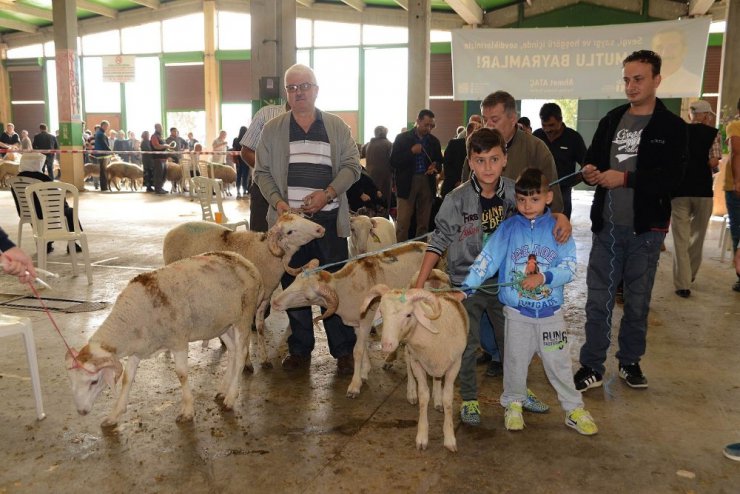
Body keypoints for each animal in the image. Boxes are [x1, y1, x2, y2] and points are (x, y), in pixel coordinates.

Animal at [64, 253, 264, 426]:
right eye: (72, 381)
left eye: (94, 382)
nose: (81, 412)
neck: (132, 316)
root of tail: (246, 262)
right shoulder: (139, 348)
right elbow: (127, 378)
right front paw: (114, 415)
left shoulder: (178, 340)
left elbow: (182, 374)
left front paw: (188, 411)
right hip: (222, 324)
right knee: (233, 351)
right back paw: (223, 389)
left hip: (243, 317)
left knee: (241, 354)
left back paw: (231, 397)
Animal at [165, 213, 326, 366]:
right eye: (290, 231)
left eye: (301, 217)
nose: (320, 229)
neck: (265, 253)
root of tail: (173, 230)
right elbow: (246, 331)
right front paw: (247, 363)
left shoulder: (264, 299)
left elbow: (259, 327)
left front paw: (264, 359)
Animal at [270, 241, 434, 400]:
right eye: (295, 281)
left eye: (308, 297)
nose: (275, 303)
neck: (346, 289)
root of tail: (426, 245)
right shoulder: (357, 323)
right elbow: (363, 348)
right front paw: (364, 372)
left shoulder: (367, 319)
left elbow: (358, 350)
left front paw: (354, 386)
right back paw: (390, 359)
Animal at [362, 286, 466, 452]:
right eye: (382, 312)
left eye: (408, 314)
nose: (387, 345)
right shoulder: (417, 363)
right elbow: (423, 396)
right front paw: (422, 437)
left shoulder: (455, 365)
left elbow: (448, 399)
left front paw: (450, 438)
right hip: (409, 350)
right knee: (408, 363)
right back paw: (411, 392)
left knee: (437, 378)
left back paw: (437, 400)